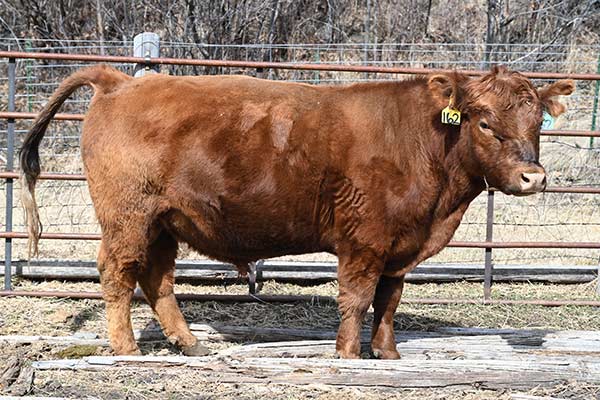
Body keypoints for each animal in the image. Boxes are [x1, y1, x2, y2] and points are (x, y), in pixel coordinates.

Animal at [17, 64, 572, 358]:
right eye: (484, 122)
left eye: (537, 120)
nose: (534, 177)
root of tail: (122, 79)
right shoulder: (364, 240)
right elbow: (357, 299)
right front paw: (349, 354)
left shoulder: (400, 245)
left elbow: (388, 301)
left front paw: (388, 353)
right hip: (128, 217)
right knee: (118, 272)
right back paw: (126, 349)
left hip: (164, 222)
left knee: (157, 280)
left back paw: (190, 343)